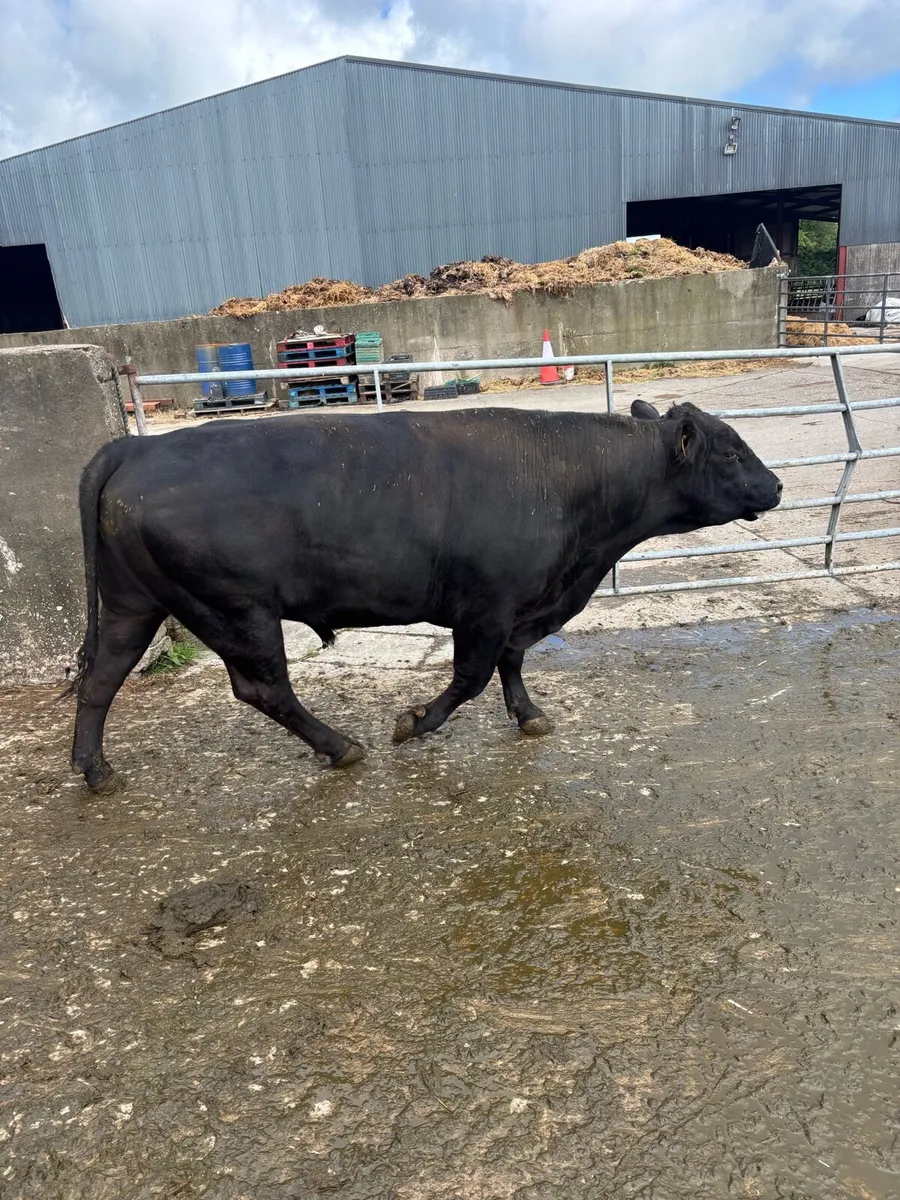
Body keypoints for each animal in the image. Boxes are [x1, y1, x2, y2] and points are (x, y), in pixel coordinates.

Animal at [67, 400, 781, 791]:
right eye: (729, 453)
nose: (775, 486)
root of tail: (134, 448)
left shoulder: (521, 606)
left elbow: (512, 662)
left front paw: (529, 714)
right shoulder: (487, 606)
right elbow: (470, 676)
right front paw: (413, 723)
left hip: (135, 604)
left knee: (101, 678)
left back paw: (94, 769)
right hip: (238, 610)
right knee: (262, 687)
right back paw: (341, 747)